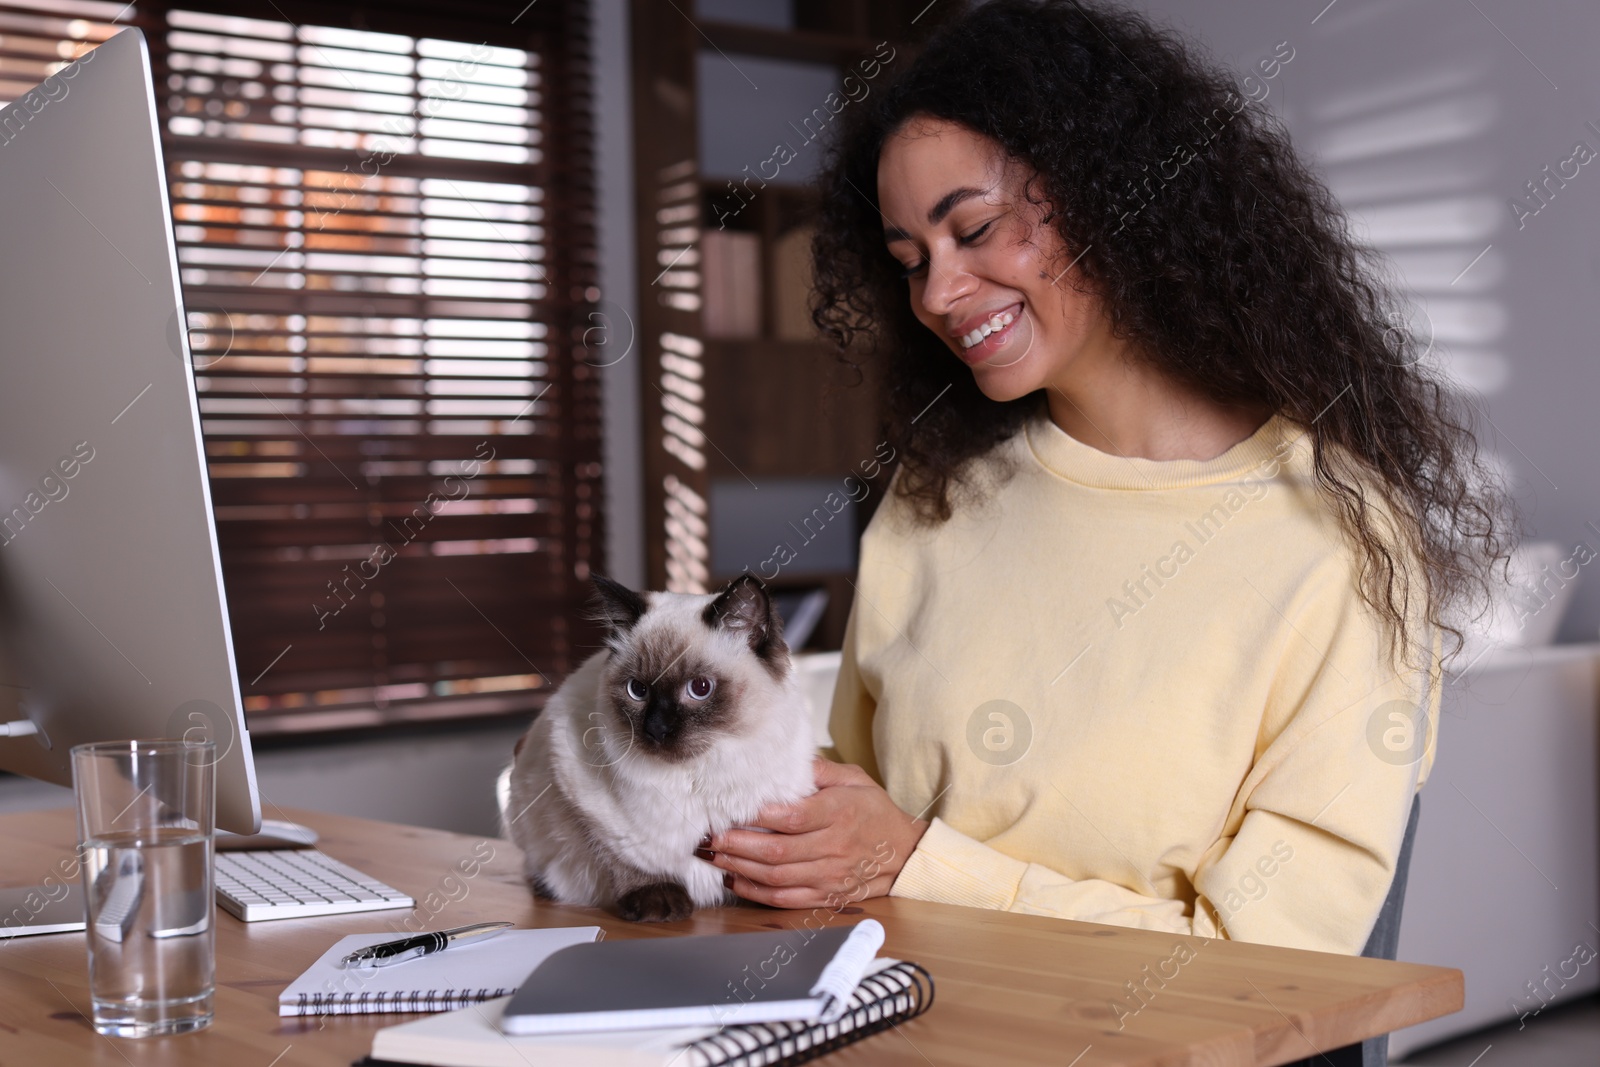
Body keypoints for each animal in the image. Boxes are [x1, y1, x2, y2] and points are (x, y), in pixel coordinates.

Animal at [499, 572, 819, 921]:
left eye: (700, 688)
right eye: (637, 690)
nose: (656, 729)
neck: (698, 773)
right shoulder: (581, 799)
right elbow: (626, 858)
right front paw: (658, 905)